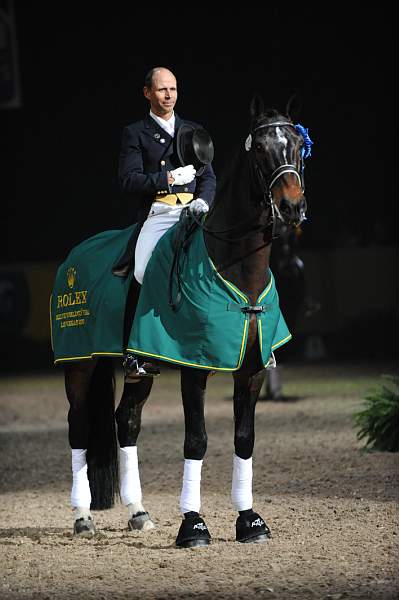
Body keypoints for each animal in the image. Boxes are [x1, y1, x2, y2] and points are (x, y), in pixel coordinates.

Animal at [54, 92, 312, 544]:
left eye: (297, 146)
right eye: (261, 150)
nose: (291, 206)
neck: (236, 269)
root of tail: (75, 255)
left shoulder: (252, 371)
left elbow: (244, 440)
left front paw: (250, 520)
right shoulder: (194, 367)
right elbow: (197, 440)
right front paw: (193, 525)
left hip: (140, 368)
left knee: (127, 422)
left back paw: (138, 512)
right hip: (79, 366)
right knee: (79, 428)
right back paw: (83, 517)